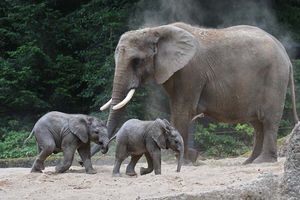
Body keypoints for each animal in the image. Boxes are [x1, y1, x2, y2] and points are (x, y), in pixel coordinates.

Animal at [96, 21, 298, 163]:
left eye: (136, 61)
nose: (105, 149)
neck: (157, 30)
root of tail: (285, 54)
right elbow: (179, 110)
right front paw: (188, 157)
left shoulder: (190, 71)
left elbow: (182, 110)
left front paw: (184, 160)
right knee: (257, 123)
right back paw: (250, 161)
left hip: (274, 77)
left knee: (268, 120)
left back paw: (263, 161)